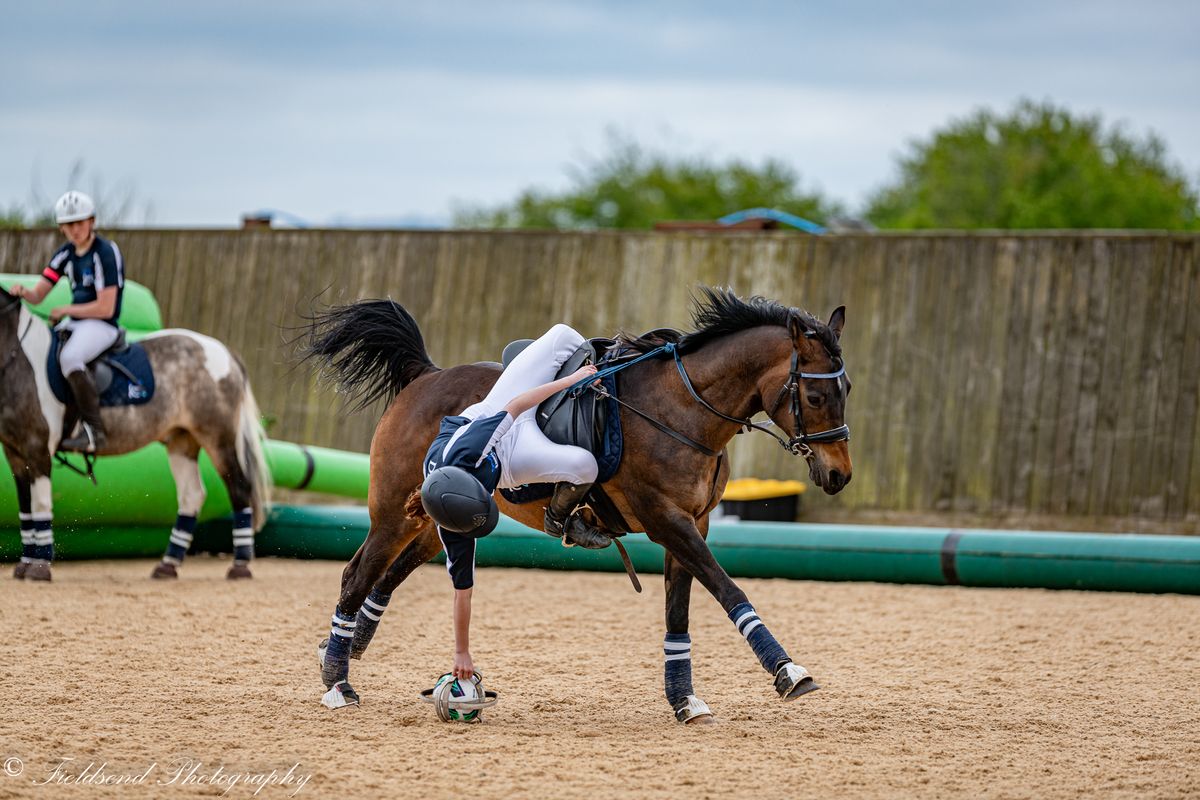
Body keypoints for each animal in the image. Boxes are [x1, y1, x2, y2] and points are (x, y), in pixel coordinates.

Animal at [0, 287, 271, 582]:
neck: (19, 359)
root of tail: (225, 352)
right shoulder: (16, 453)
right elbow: (25, 507)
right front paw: (25, 564)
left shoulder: (37, 448)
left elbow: (40, 504)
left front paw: (39, 567)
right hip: (181, 440)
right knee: (191, 495)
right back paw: (167, 565)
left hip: (217, 437)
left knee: (239, 487)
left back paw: (240, 565)